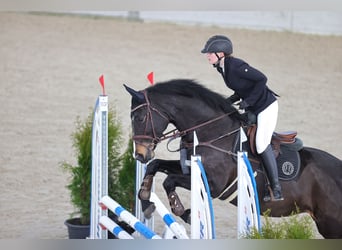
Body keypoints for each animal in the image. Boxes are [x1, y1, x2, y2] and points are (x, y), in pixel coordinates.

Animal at [125, 78, 342, 238]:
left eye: (140, 118)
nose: (140, 154)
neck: (213, 132)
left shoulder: (214, 186)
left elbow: (169, 180)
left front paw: (182, 211)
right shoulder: (189, 168)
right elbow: (155, 165)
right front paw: (146, 201)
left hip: (330, 224)